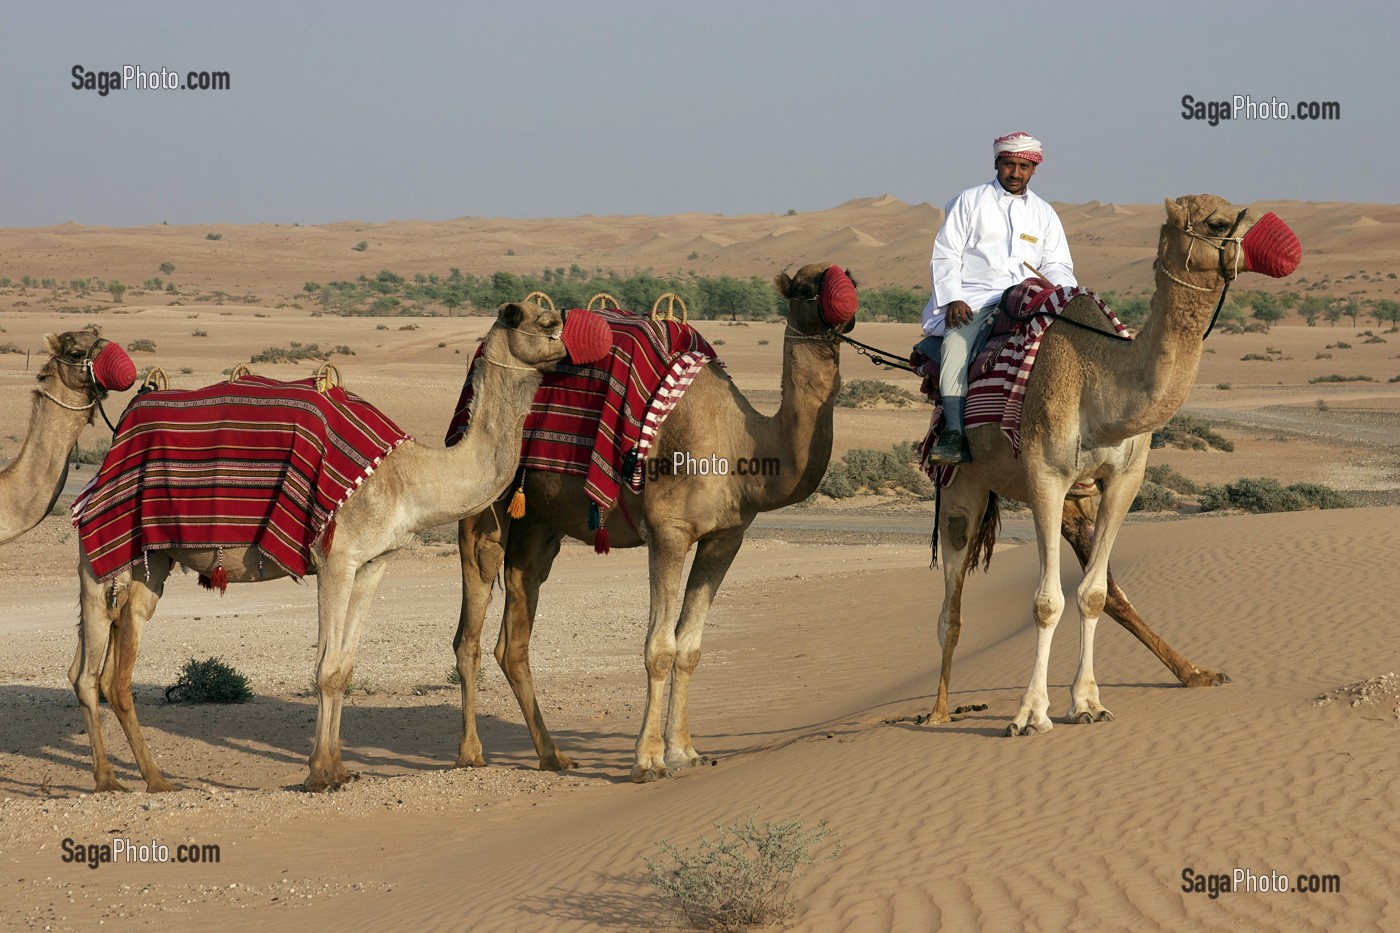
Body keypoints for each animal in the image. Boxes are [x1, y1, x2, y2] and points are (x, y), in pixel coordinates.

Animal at [69, 301, 607, 790]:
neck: (408, 478)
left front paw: (338, 769)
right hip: (100, 549)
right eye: (548, 322)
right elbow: (326, 667)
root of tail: (116, 442)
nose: (587, 344)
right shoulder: (335, 558)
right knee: (92, 671)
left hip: (152, 560)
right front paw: (317, 775)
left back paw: (147, 775)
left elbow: (344, 666)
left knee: (110, 658)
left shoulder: (373, 563)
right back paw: (118, 780)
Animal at [453, 259, 856, 778]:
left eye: (849, 276)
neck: (742, 445)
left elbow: (690, 648)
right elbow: (659, 648)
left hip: (540, 522)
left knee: (516, 633)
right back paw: (471, 752)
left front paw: (685, 750)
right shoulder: (669, 532)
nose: (847, 305)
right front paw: (648, 760)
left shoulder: (725, 538)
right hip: (486, 503)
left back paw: (552, 755)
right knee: (472, 620)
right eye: (806, 287)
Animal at [929, 194, 1299, 734]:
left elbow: (1094, 594)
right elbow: (1046, 602)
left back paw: (1195, 672)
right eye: (1216, 223)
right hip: (964, 484)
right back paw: (937, 713)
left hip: (1075, 500)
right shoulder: (1045, 475)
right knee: (951, 605)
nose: (1289, 247)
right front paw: (1029, 714)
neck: (1100, 380)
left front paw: (1086, 703)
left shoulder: (1124, 479)